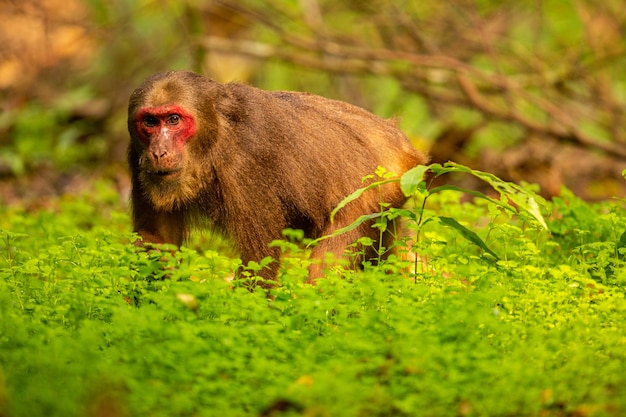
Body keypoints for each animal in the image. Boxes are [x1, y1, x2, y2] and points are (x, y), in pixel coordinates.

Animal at [129, 70, 426, 282]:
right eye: (150, 122)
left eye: (174, 120)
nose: (159, 151)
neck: (217, 136)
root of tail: (402, 147)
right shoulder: (135, 156)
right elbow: (159, 240)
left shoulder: (247, 164)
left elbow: (259, 262)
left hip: (370, 196)